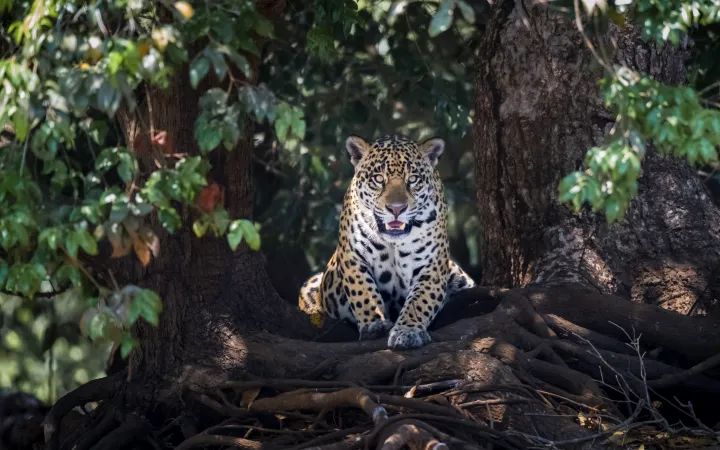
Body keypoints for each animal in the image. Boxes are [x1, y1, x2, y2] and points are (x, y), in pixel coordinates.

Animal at [298, 134, 476, 349]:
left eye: (412, 179)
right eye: (378, 179)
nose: (396, 209)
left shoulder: (432, 266)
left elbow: (420, 301)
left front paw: (407, 331)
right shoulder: (352, 257)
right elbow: (363, 292)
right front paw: (375, 324)